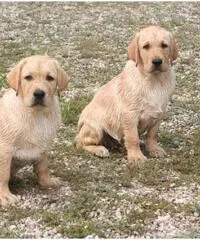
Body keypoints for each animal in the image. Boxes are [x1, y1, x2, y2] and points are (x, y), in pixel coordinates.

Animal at [0, 55, 68, 205]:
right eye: (28, 77)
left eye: (50, 78)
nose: (39, 94)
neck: (37, 114)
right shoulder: (4, 149)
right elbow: (3, 174)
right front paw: (4, 195)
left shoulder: (44, 144)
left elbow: (43, 167)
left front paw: (47, 182)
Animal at [75, 25, 178, 165]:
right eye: (146, 46)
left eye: (164, 45)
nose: (157, 61)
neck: (154, 81)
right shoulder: (130, 115)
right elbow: (132, 137)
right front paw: (136, 156)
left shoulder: (159, 114)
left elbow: (152, 135)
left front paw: (154, 149)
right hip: (95, 127)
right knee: (80, 142)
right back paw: (99, 150)